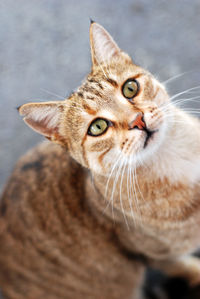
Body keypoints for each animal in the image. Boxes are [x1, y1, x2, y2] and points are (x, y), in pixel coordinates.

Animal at [0, 21, 200, 299]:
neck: (177, 158)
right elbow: (184, 265)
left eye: (130, 88)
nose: (138, 120)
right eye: (98, 127)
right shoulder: (155, 255)